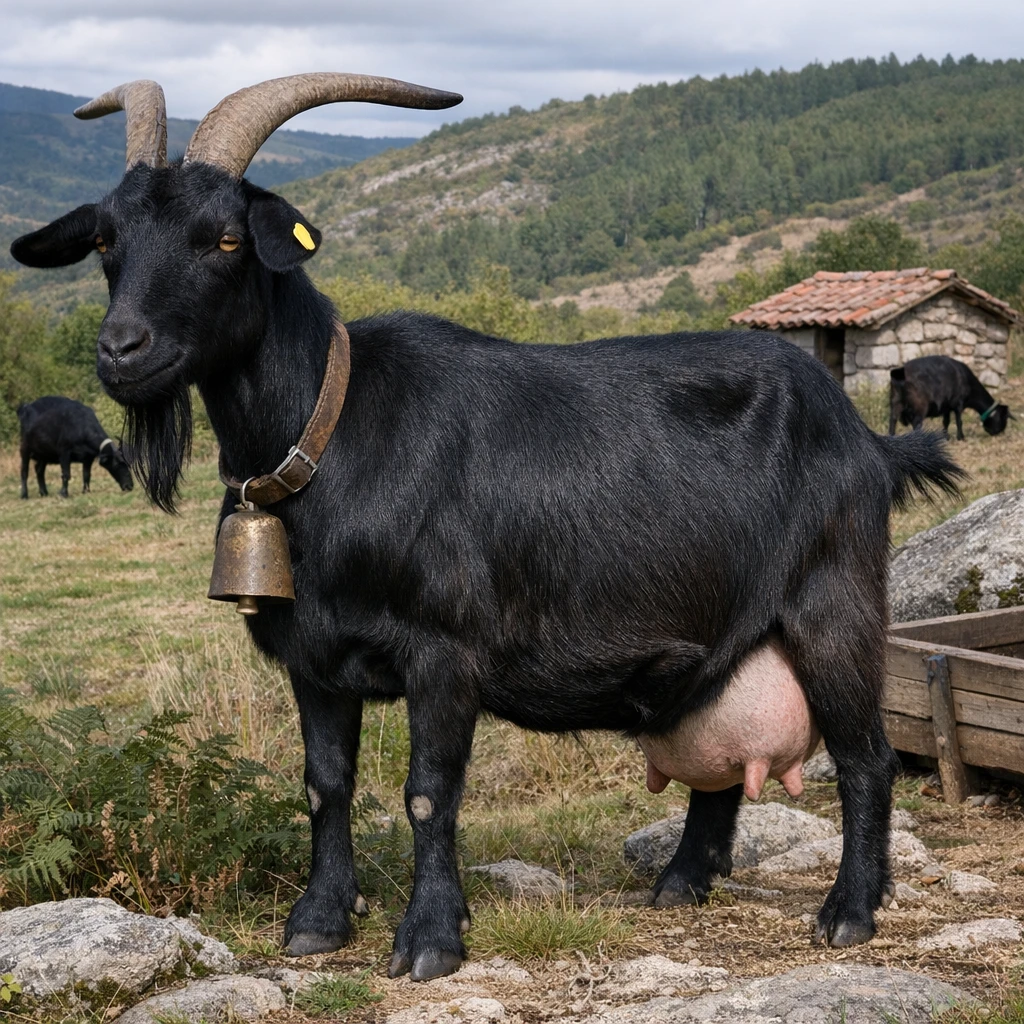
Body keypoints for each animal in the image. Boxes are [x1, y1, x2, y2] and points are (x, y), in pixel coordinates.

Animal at [11, 76, 961, 982]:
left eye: (226, 240)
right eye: (107, 242)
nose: (121, 351)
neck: (331, 431)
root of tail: (865, 438)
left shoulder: (444, 651)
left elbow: (429, 791)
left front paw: (430, 939)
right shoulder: (313, 658)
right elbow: (325, 784)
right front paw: (317, 921)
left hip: (834, 600)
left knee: (868, 757)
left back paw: (850, 911)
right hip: (719, 631)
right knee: (720, 760)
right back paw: (681, 882)